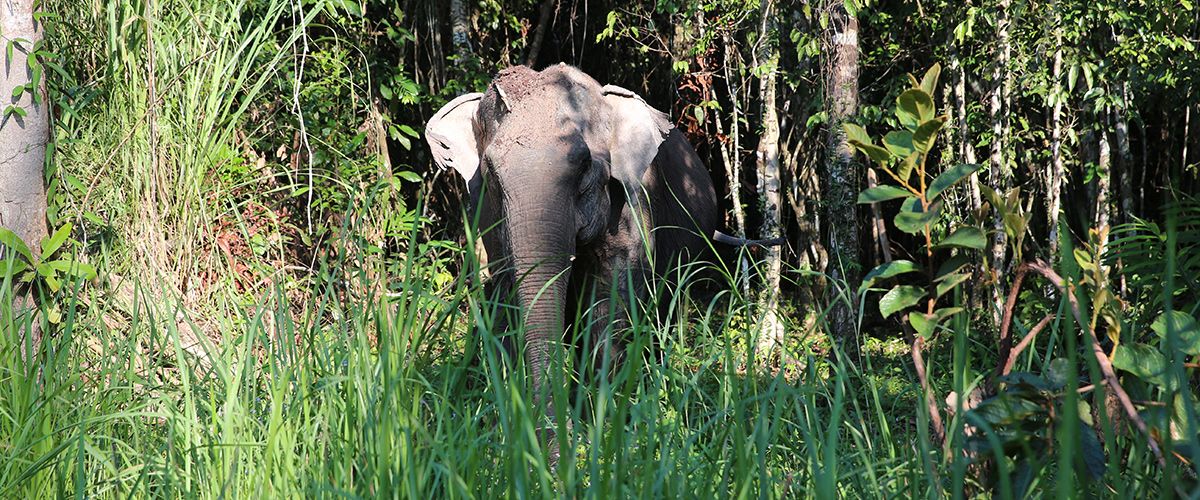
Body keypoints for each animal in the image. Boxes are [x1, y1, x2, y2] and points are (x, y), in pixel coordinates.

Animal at [422, 62, 758, 431]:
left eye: (584, 165)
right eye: (492, 173)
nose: (556, 428)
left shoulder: (630, 207)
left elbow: (610, 304)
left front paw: (600, 426)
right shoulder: (487, 217)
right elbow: (506, 295)